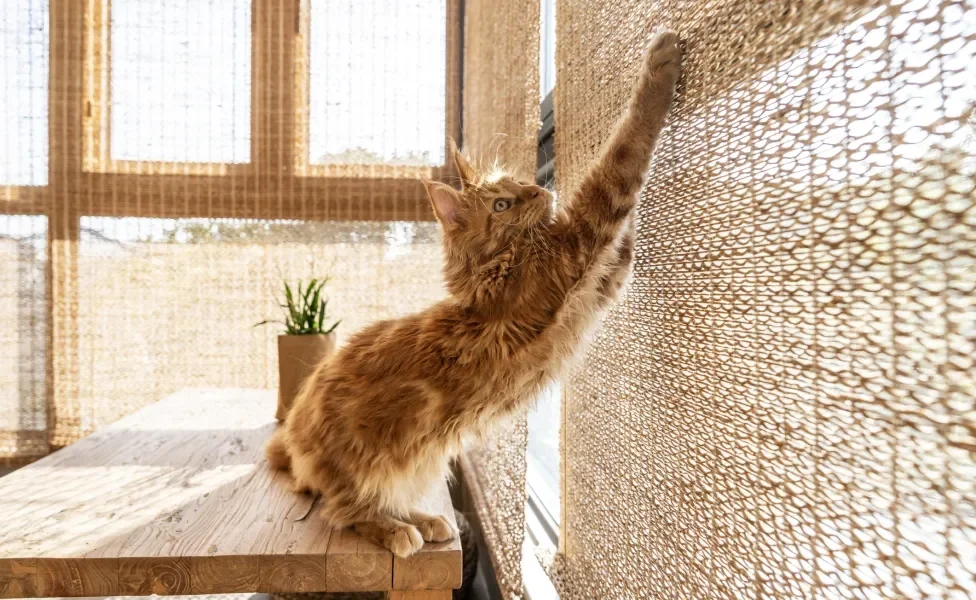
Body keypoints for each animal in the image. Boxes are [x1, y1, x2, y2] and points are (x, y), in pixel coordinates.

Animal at [264, 30, 684, 556]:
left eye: (520, 184)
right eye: (503, 204)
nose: (538, 192)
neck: (497, 271)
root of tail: (294, 433)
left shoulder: (595, 286)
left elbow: (625, 241)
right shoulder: (578, 244)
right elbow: (622, 156)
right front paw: (658, 66)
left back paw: (426, 519)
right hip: (363, 468)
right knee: (341, 512)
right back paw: (398, 530)